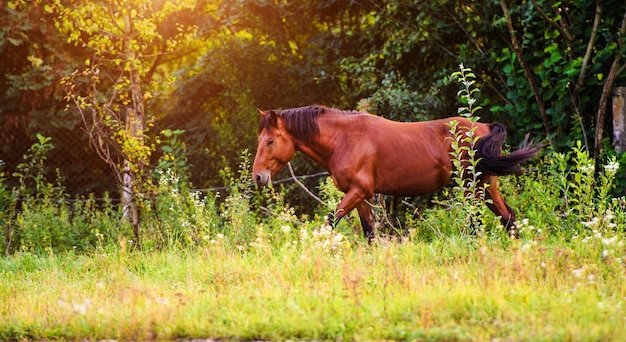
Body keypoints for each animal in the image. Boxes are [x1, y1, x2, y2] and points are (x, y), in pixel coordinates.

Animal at [251, 105, 540, 239]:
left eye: (271, 141)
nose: (258, 177)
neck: (345, 138)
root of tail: (485, 128)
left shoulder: (359, 191)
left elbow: (331, 220)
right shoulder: (362, 196)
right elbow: (369, 232)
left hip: (473, 188)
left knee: (477, 222)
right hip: (486, 188)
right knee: (508, 218)